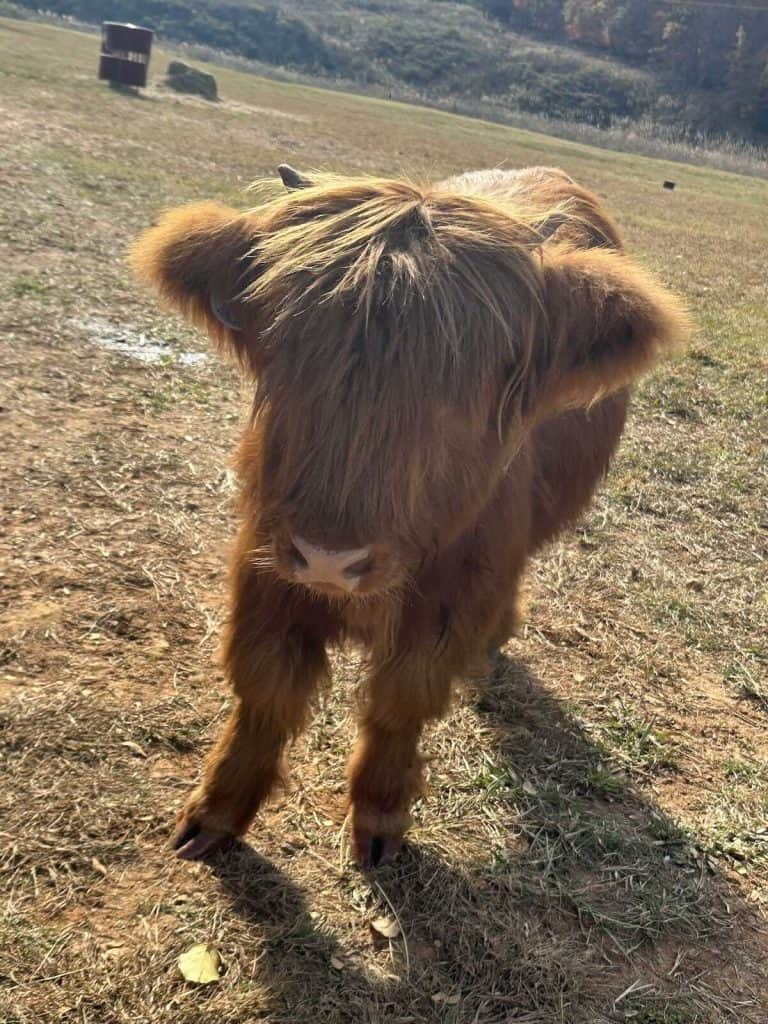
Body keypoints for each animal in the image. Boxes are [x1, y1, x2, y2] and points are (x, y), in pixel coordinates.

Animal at [130, 166, 690, 868]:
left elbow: (402, 700)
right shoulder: (265, 565)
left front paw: (379, 817)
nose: (329, 558)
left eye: (458, 395)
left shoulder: (453, 593)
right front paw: (215, 812)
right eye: (285, 357)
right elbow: (265, 686)